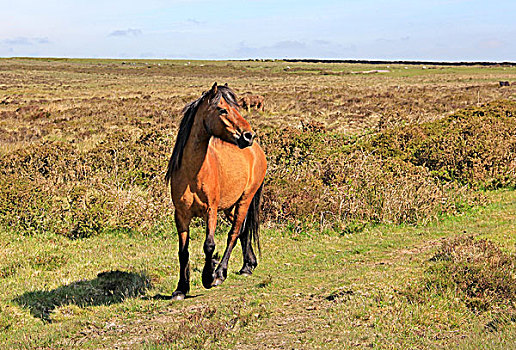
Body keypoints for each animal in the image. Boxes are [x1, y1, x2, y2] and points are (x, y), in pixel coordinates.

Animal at [165, 82, 268, 300]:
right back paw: (248, 265)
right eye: (222, 109)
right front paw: (181, 288)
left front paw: (208, 276)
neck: (193, 172)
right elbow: (183, 251)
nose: (248, 135)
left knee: (234, 233)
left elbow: (209, 245)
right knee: (243, 229)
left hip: (245, 200)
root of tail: (257, 150)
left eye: (237, 107)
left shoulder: (210, 211)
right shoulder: (181, 215)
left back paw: (221, 272)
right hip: (230, 207)